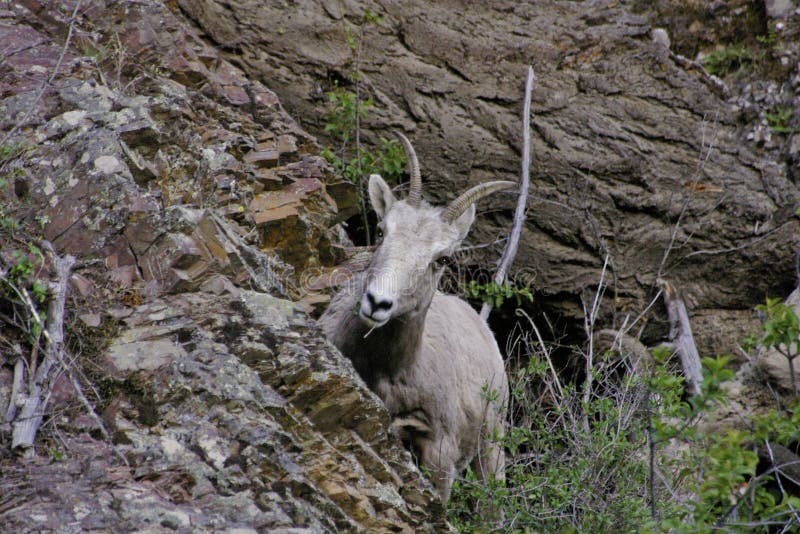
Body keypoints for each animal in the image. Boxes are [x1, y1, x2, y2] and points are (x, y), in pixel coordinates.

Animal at [318, 133, 512, 502]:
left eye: (442, 259)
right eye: (381, 231)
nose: (377, 303)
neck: (390, 374)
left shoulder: (440, 452)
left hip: (491, 449)